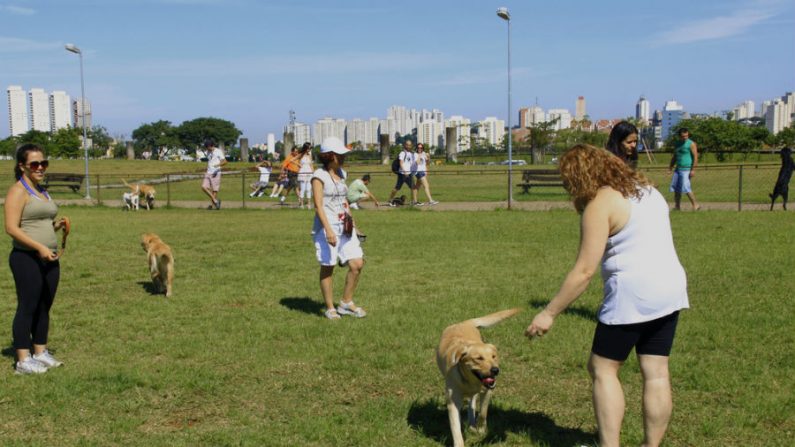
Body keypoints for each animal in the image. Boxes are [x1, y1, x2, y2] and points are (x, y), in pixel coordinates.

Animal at [436, 310, 524, 446]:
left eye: (493, 356)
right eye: (478, 358)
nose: (495, 370)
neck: (470, 381)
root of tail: (465, 322)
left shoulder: (487, 391)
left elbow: (483, 412)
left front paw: (481, 429)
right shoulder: (453, 401)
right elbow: (455, 427)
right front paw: (459, 442)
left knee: (472, 403)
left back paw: (473, 423)